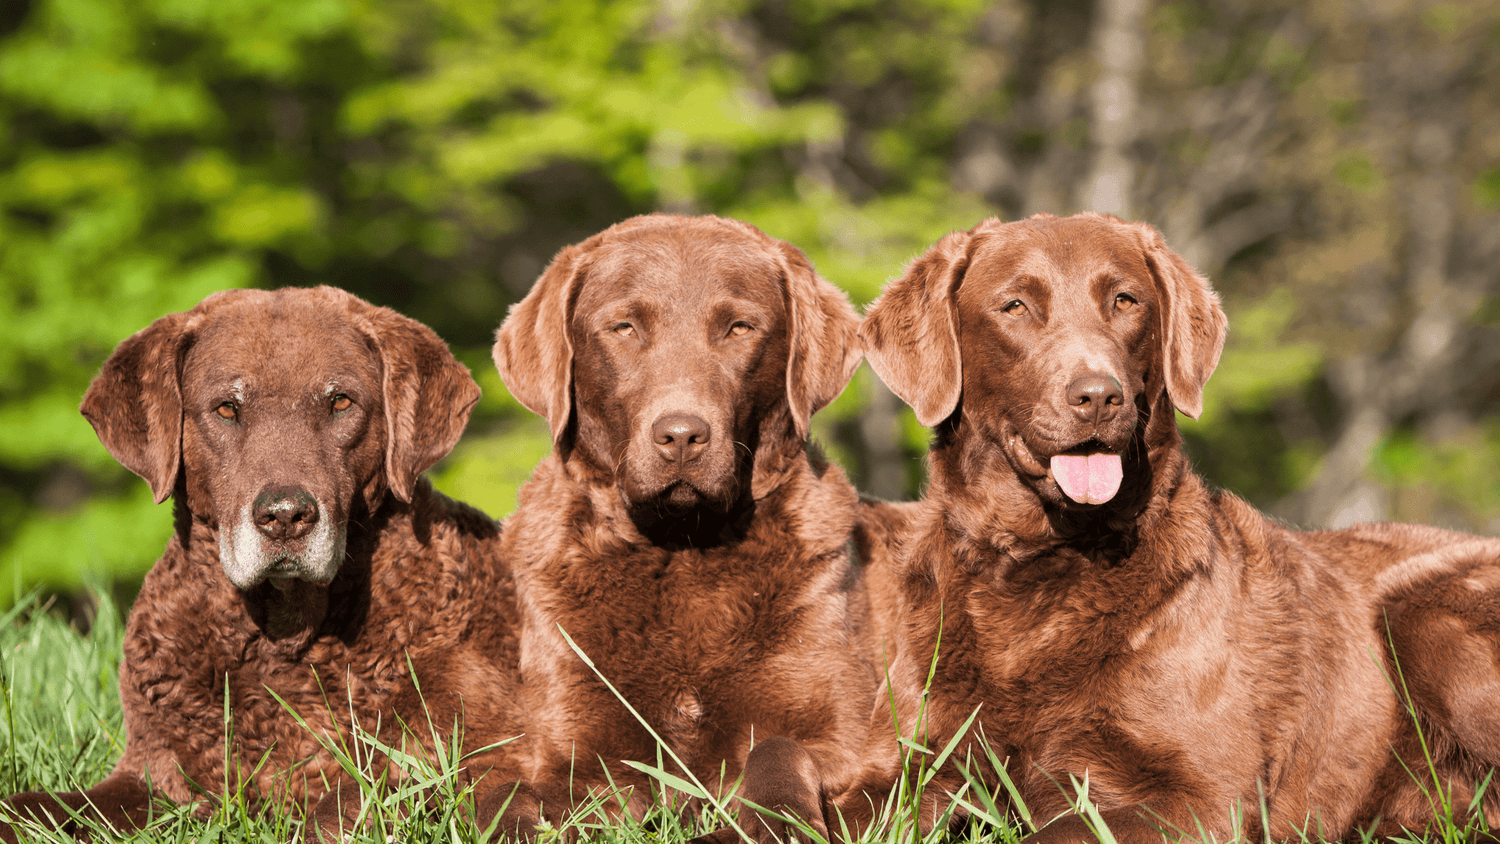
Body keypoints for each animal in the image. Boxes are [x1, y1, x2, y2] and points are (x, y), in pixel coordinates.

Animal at [0, 287, 531, 839]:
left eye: (341, 402)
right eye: (226, 408)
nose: (285, 516)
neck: (280, 639)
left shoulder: (474, 756)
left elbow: (351, 802)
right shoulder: (155, 770)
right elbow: (37, 806)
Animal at [480, 212, 882, 844]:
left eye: (740, 327)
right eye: (623, 327)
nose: (681, 435)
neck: (682, 547)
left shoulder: (844, 736)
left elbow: (776, 748)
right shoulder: (573, 746)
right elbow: (513, 795)